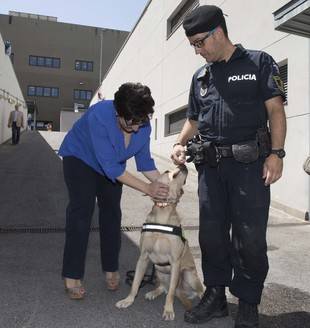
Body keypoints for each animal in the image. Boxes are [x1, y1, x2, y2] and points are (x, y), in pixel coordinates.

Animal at [116, 165, 203, 320]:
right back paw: (154, 292)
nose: (182, 164)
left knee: (192, 289)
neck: (163, 211)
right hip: (158, 271)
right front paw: (128, 300)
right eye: (167, 172)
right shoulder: (143, 257)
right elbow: (136, 283)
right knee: (164, 288)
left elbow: (170, 295)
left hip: (188, 274)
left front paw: (168, 310)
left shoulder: (175, 262)